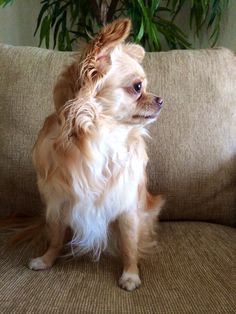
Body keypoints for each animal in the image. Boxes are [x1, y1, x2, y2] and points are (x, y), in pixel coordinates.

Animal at [29, 18, 164, 290]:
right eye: (138, 87)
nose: (160, 100)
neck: (100, 137)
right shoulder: (58, 201)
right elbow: (56, 236)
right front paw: (47, 259)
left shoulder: (127, 206)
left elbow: (129, 244)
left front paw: (130, 274)